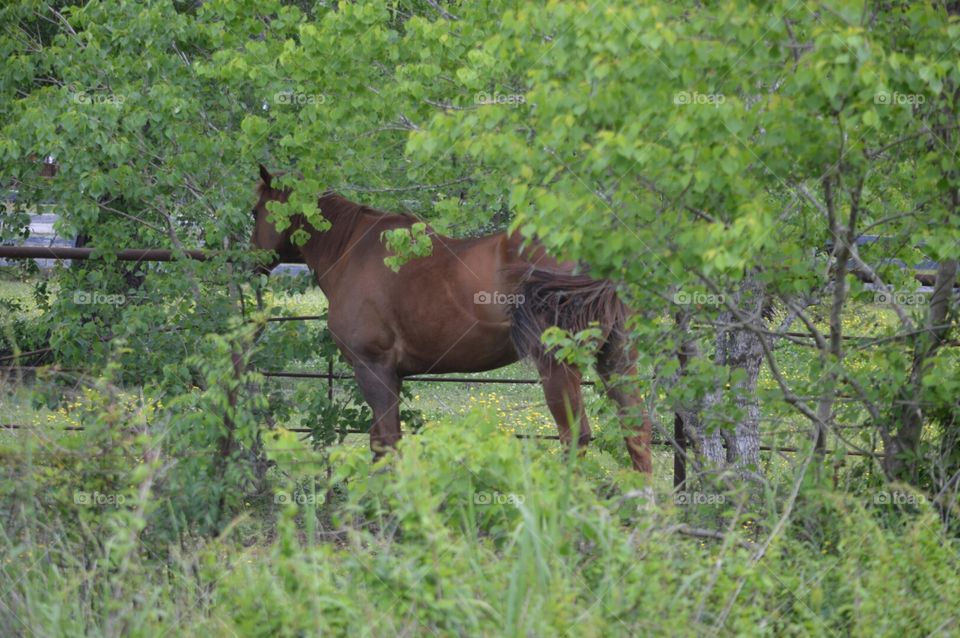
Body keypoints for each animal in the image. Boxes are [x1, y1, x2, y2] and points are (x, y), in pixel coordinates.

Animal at [251, 165, 653, 473]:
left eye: (256, 212)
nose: (252, 261)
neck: (350, 250)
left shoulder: (373, 368)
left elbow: (385, 442)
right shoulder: (392, 375)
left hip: (558, 366)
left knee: (576, 436)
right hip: (617, 359)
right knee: (636, 431)